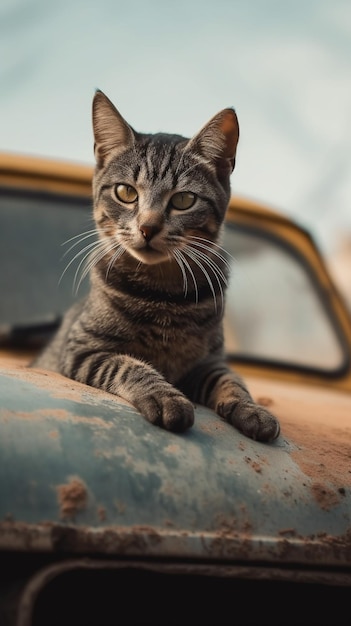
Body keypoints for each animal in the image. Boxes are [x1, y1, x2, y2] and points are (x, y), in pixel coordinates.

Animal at [33, 90, 280, 442]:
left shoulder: (208, 362)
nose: (148, 227)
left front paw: (252, 409)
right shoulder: (83, 350)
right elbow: (129, 366)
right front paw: (164, 396)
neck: (163, 295)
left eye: (183, 200)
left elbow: (232, 381)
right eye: (126, 192)